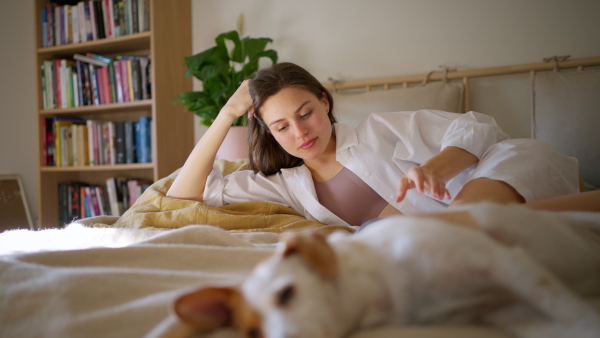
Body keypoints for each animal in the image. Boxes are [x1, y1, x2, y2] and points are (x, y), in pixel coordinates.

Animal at [172, 203, 600, 338]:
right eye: (252, 334)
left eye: (287, 293)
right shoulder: (514, 313)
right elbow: (576, 323)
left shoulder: (506, 262)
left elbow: (571, 309)